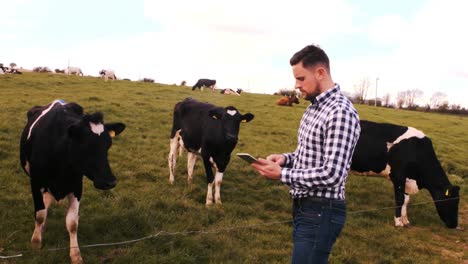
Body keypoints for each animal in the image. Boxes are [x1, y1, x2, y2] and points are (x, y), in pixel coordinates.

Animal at [19, 99, 125, 264]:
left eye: (108, 144)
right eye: (84, 145)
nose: (110, 182)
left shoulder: (76, 186)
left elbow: (72, 223)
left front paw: (75, 254)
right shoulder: (36, 183)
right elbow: (40, 214)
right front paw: (36, 243)